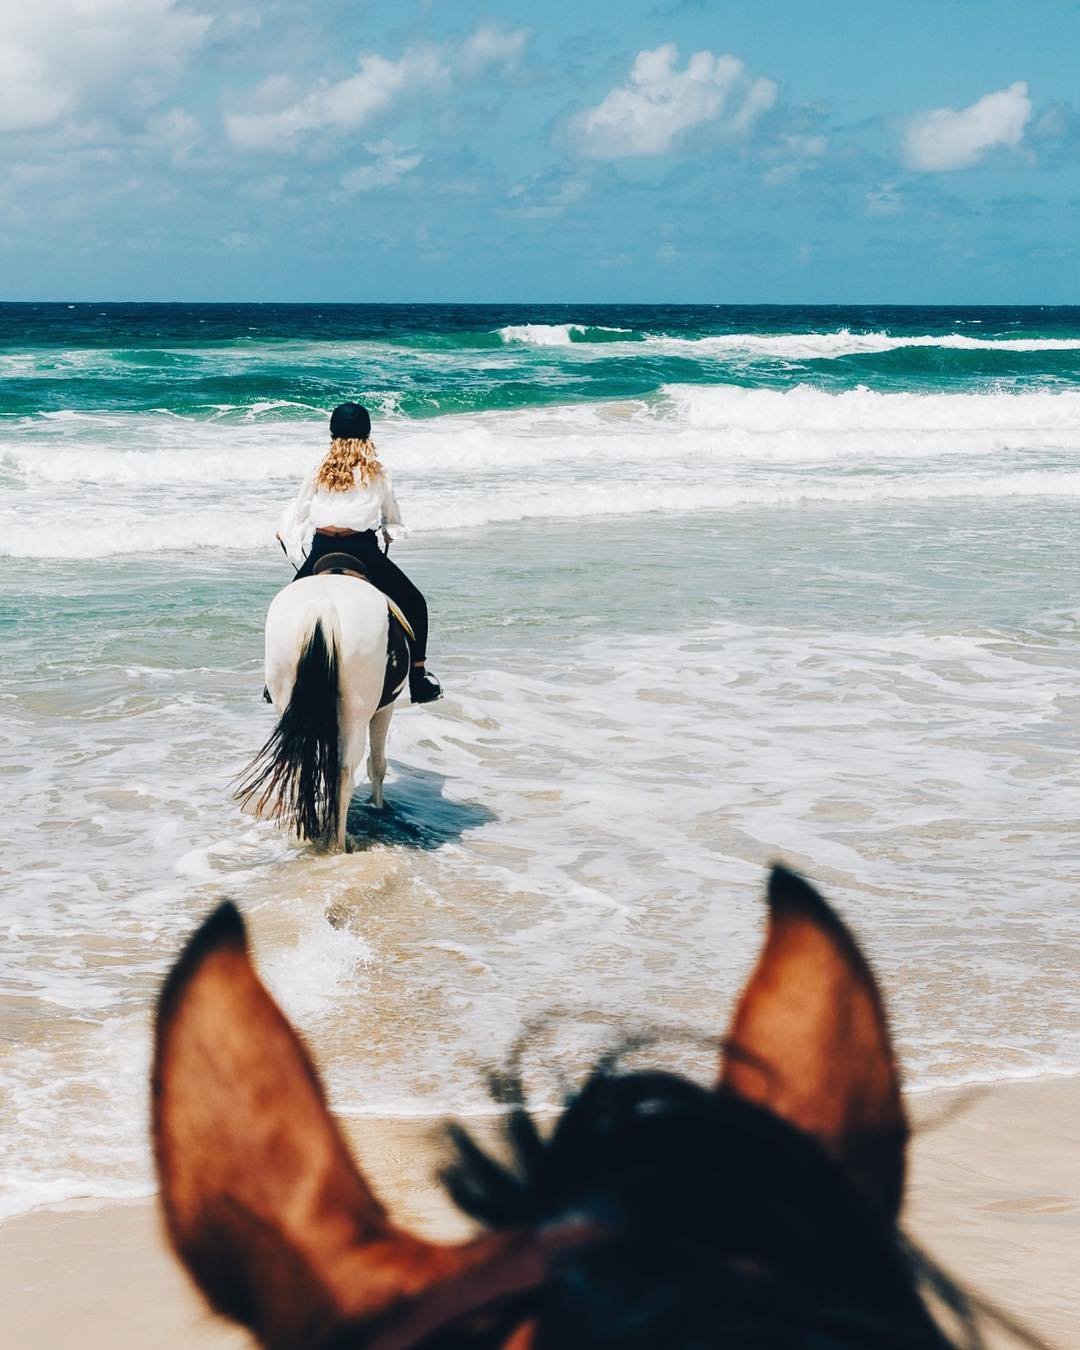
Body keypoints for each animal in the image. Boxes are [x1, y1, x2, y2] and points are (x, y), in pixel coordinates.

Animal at [235, 568, 406, 850]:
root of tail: (322, 608)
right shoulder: (385, 709)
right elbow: (377, 765)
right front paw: (379, 806)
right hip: (355, 714)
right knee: (345, 775)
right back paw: (339, 844)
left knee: (300, 768)